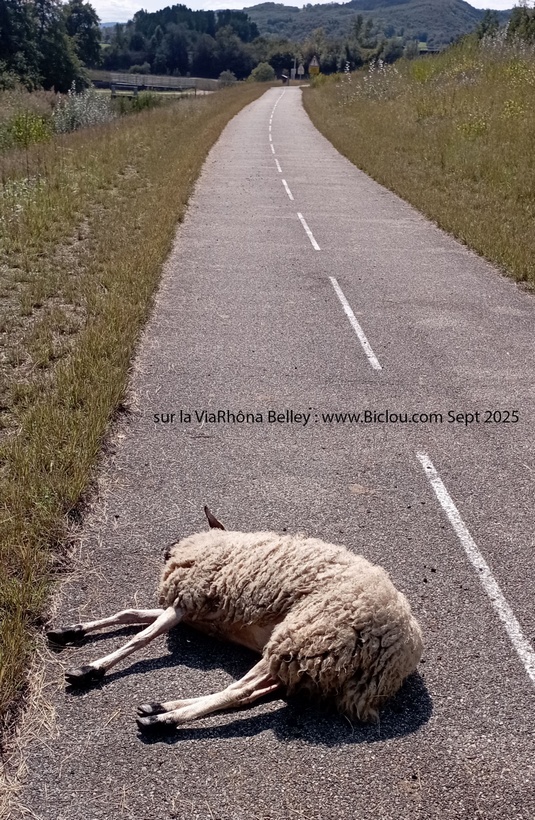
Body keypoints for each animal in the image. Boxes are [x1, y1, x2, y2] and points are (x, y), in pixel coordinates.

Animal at [47, 507, 423, 731]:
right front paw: (69, 630)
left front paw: (89, 669)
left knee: (238, 689)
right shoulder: (190, 613)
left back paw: (163, 718)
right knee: (255, 691)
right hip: (310, 663)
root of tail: (395, 663)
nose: (167, 547)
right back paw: (159, 708)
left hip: (303, 639)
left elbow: (141, 637)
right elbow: (130, 613)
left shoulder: (187, 599)